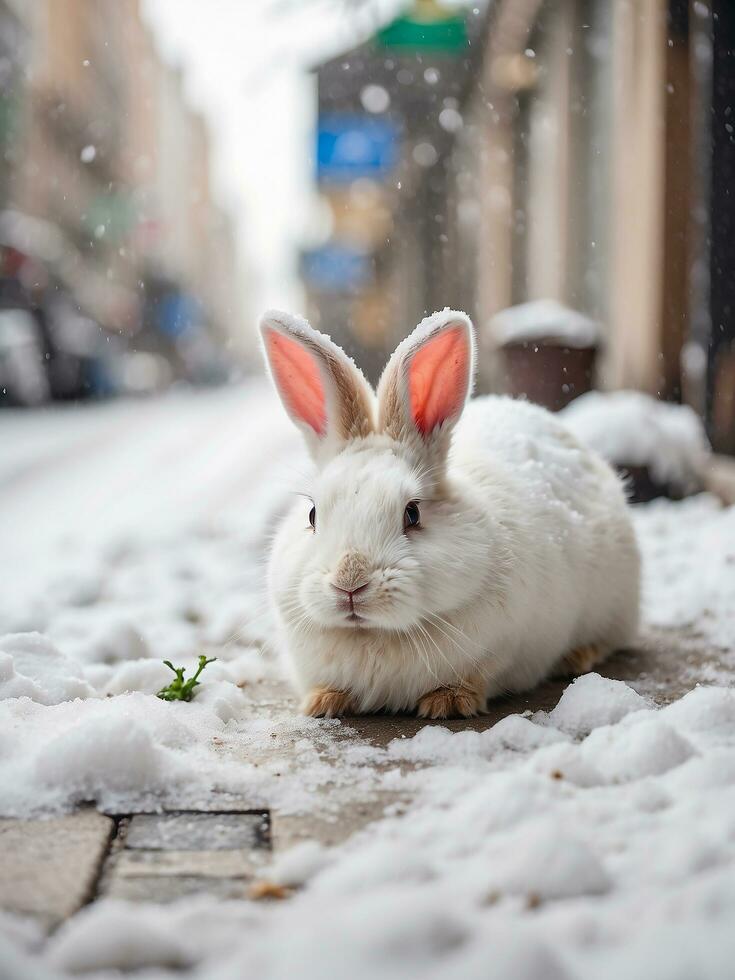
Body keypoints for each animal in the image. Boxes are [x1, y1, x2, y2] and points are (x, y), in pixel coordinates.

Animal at [262, 308, 640, 720]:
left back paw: (578, 656)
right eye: (313, 515)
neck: (377, 635)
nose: (350, 584)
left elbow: (479, 676)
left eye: (412, 513)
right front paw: (323, 701)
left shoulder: (502, 650)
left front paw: (448, 703)